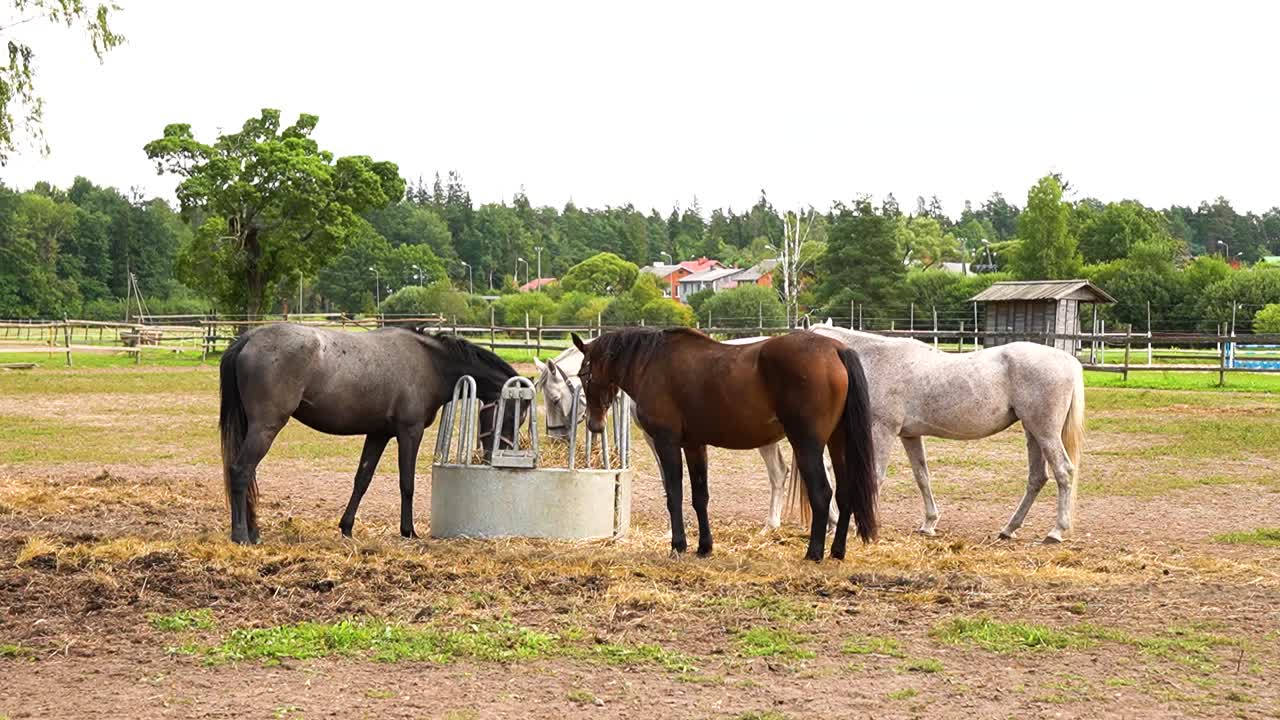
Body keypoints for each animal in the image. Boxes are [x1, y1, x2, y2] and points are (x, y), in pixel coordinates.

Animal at [218, 323, 522, 544]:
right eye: (511, 415)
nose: (495, 456)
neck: (430, 363)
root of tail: (249, 338)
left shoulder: (378, 434)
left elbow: (362, 480)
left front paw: (346, 527)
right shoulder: (409, 433)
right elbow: (407, 483)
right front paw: (408, 531)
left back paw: (252, 531)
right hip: (265, 427)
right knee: (240, 471)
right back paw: (241, 535)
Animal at [533, 336, 803, 532]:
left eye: (554, 399)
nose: (556, 440)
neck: (644, 369)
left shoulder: (658, 439)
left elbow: (670, 481)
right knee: (781, 473)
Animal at [571, 327, 877, 562]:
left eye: (583, 374)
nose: (595, 425)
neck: (652, 363)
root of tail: (835, 349)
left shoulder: (667, 443)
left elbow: (674, 495)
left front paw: (678, 545)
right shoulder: (695, 445)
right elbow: (700, 496)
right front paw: (704, 547)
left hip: (807, 445)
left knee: (822, 494)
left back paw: (814, 552)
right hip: (838, 443)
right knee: (845, 493)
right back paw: (837, 551)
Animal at [801, 321, 1086, 543]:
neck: (878, 361)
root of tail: (1068, 361)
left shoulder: (883, 430)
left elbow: (876, 477)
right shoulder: (909, 436)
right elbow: (922, 477)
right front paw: (929, 523)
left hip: (1045, 432)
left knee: (1063, 472)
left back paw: (1056, 532)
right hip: (1033, 432)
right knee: (1037, 477)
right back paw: (1009, 529)